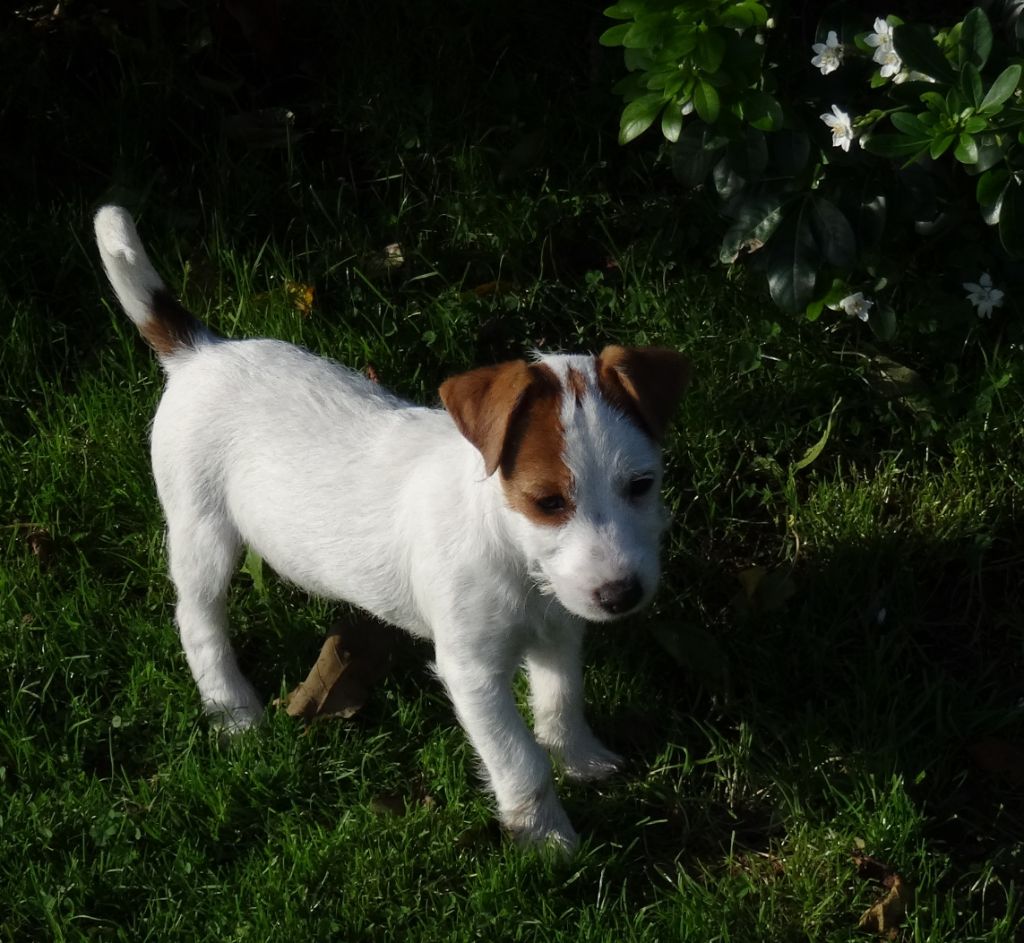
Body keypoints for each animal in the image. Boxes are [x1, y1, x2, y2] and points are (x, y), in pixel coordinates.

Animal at [94, 205, 689, 851]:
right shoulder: (472, 670)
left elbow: (561, 700)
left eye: (641, 485)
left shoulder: (559, 631)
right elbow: (519, 759)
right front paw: (547, 838)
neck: (512, 548)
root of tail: (199, 351)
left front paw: (579, 758)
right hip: (201, 529)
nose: (622, 595)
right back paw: (233, 710)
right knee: (198, 620)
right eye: (548, 501)